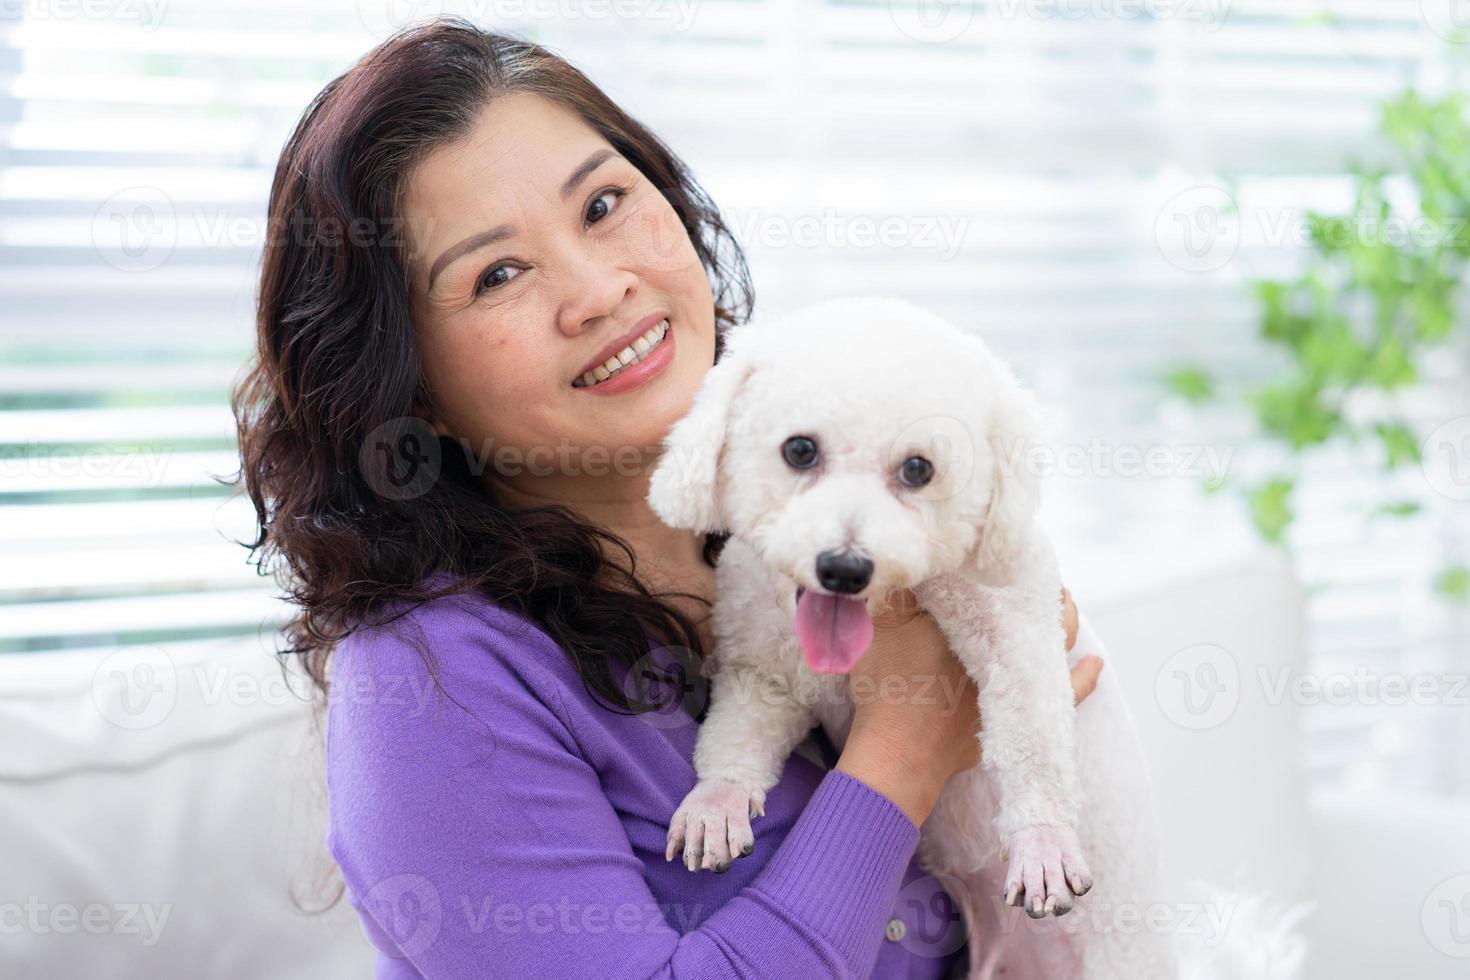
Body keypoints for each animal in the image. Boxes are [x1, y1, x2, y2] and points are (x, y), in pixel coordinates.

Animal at [649, 299, 1305, 980]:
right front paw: (718, 801)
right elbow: (736, 734)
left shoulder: (1017, 633)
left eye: (918, 469)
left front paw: (1042, 842)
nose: (844, 567)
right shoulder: (762, 669)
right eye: (799, 450)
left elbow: (1031, 738)